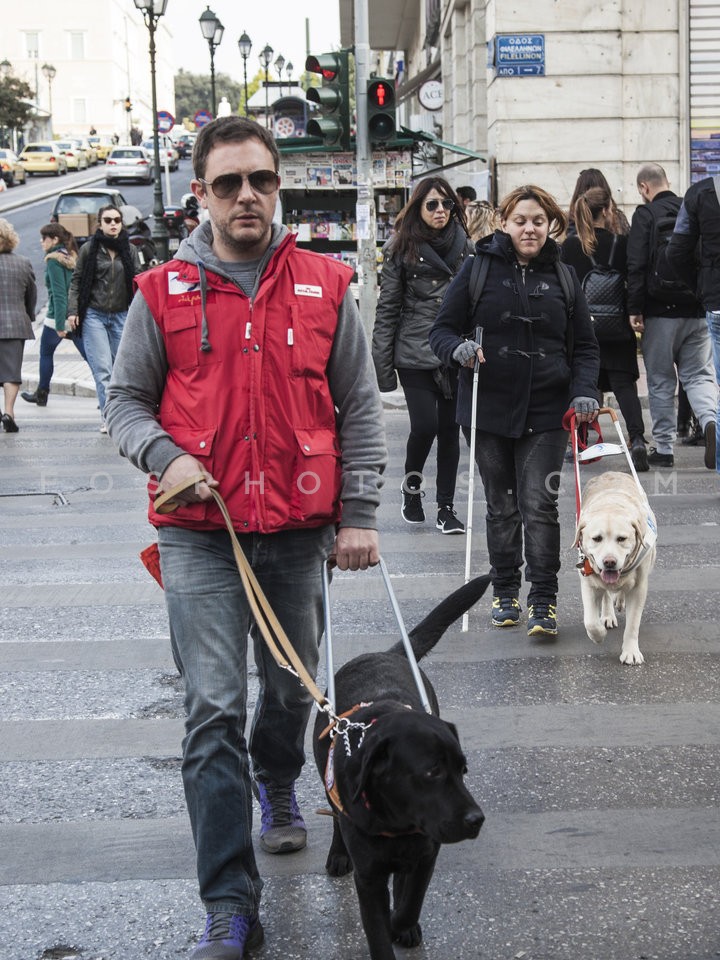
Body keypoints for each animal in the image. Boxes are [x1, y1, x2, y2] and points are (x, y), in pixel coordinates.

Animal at [313, 574, 491, 960]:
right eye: (431, 772)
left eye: (462, 770)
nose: (477, 819)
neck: (394, 823)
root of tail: (389, 652)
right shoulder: (369, 876)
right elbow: (377, 930)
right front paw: (389, 930)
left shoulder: (426, 853)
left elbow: (410, 901)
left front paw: (403, 924)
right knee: (334, 819)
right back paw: (337, 855)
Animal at [574, 471, 657, 665]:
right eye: (597, 538)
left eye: (622, 539)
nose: (609, 562)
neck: (610, 505)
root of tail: (611, 472)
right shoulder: (587, 582)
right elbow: (590, 621)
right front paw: (598, 635)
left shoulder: (639, 588)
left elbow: (633, 624)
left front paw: (631, 652)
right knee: (606, 594)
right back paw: (607, 616)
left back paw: (619, 599)